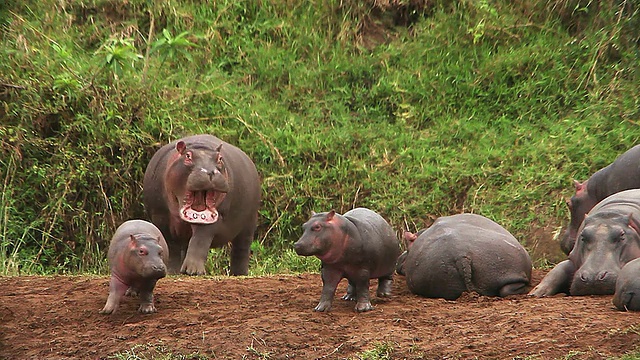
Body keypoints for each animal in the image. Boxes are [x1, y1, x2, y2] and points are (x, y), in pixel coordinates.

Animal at [144, 135, 262, 276]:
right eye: (188, 156)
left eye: (220, 158)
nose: (210, 172)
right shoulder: (160, 216)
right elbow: (170, 245)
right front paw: (172, 272)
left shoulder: (214, 218)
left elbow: (200, 240)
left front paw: (193, 271)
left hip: (249, 221)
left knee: (242, 248)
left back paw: (239, 274)